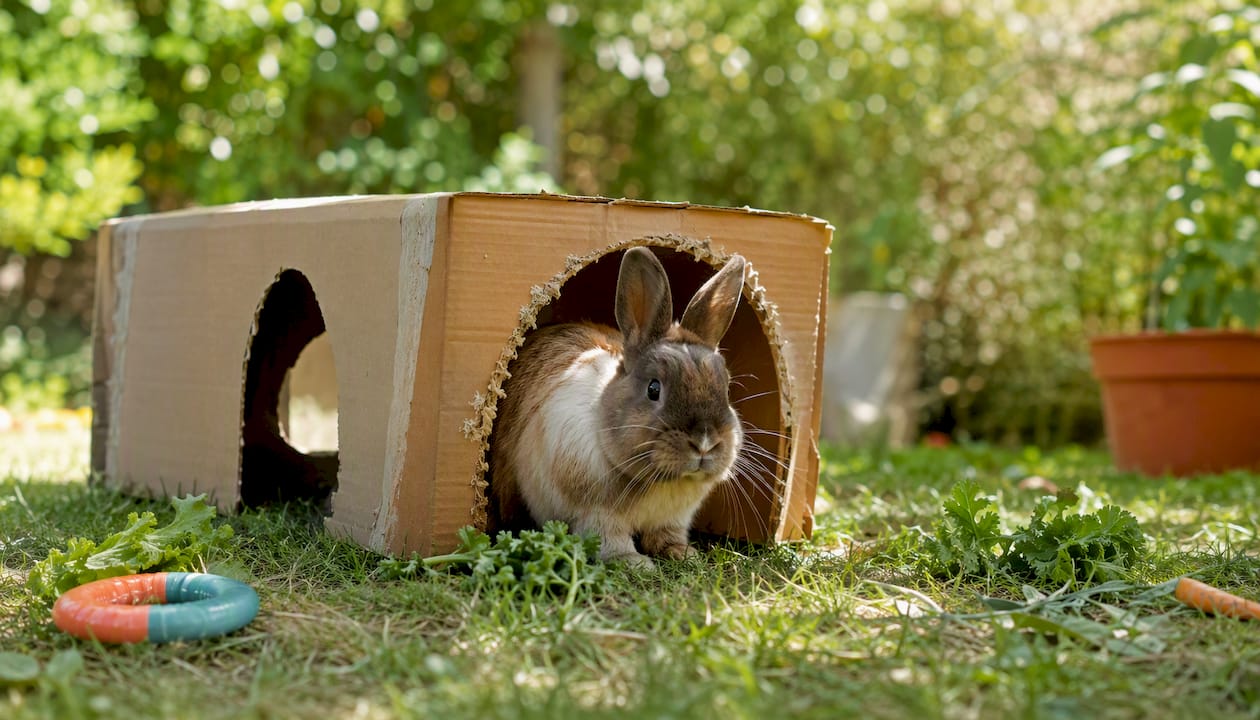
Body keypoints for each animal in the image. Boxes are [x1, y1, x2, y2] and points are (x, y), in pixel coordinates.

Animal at [491, 247, 748, 569]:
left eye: (725, 387)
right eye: (653, 389)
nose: (704, 442)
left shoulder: (675, 518)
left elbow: (667, 534)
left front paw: (684, 554)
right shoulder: (595, 514)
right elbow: (608, 539)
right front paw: (633, 563)